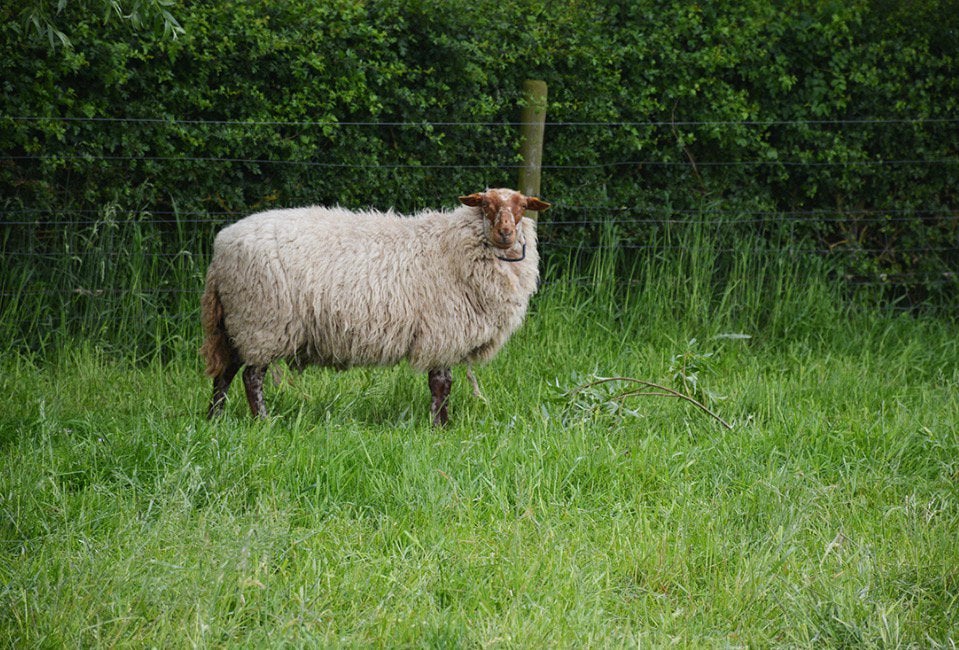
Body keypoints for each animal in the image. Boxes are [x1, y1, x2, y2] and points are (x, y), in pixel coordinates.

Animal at [200, 188, 550, 425]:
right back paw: (263, 421)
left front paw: (441, 424)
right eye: (486, 205)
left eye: (521, 207)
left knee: (226, 373)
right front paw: (440, 427)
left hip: (236, 322)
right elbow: (441, 385)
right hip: (262, 321)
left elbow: (442, 384)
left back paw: (215, 418)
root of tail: (221, 248)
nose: (505, 233)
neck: (455, 245)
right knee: (251, 377)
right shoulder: (441, 332)